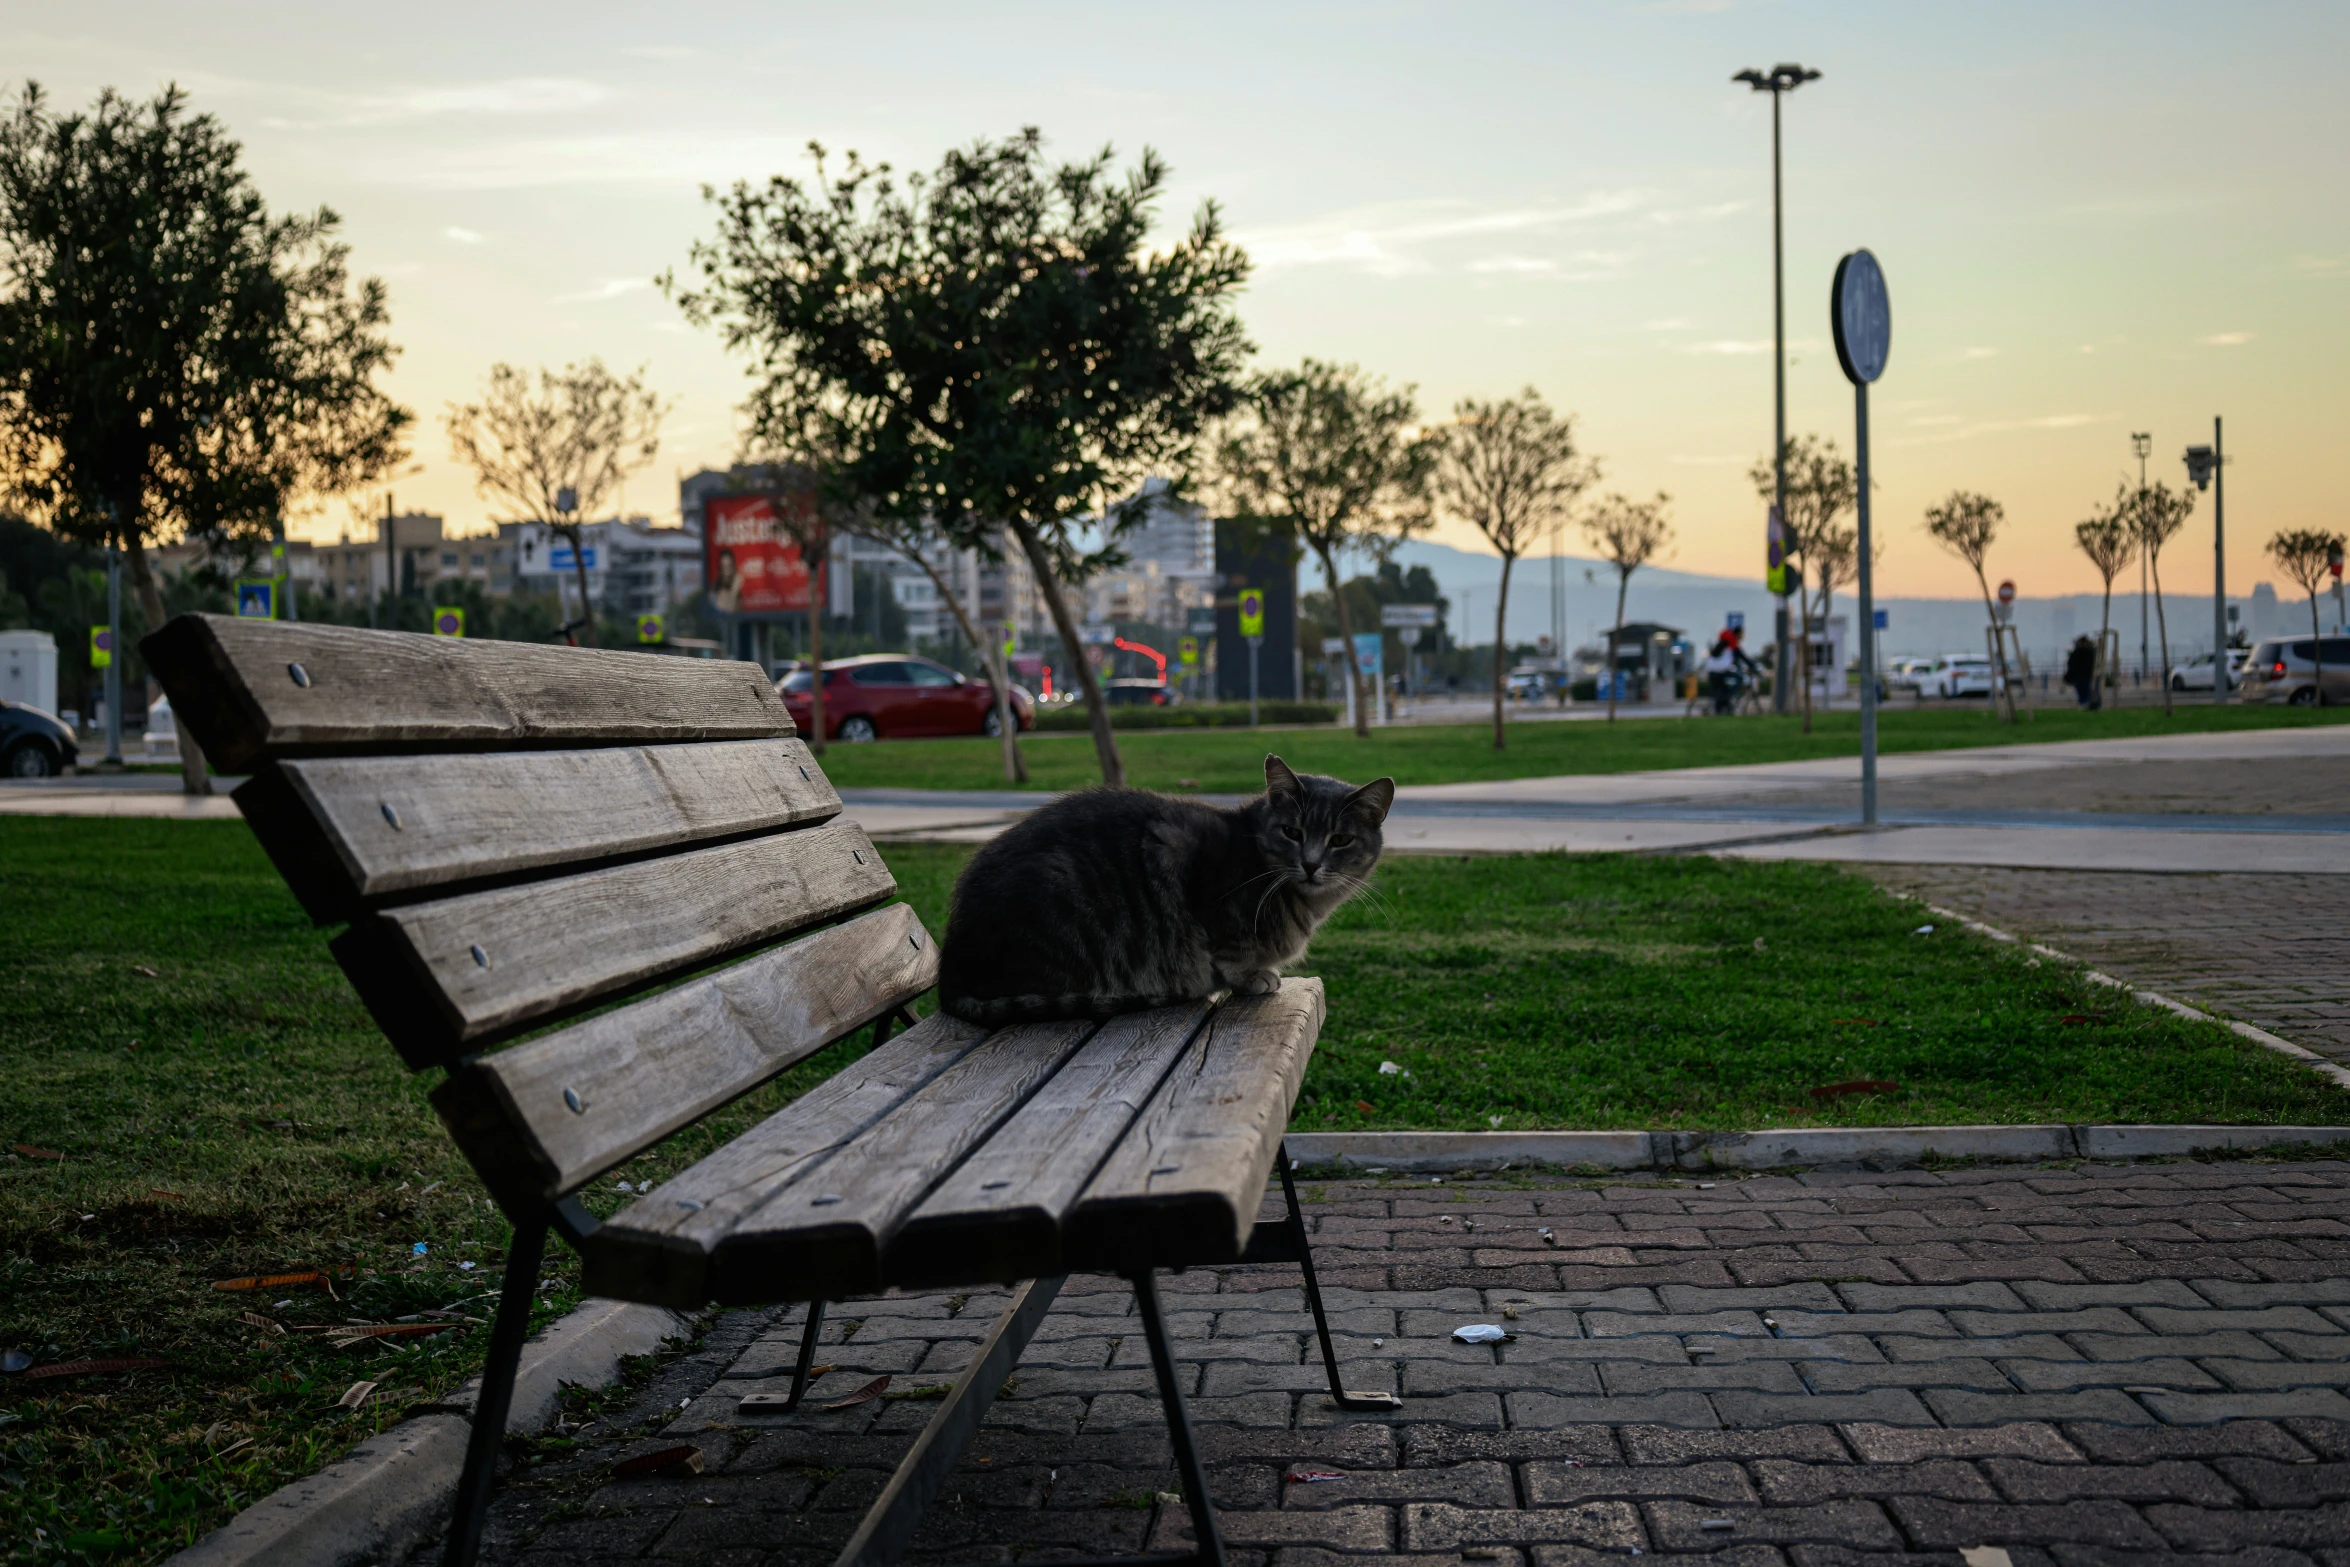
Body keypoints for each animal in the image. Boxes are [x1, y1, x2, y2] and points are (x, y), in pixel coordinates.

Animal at [939, 756, 1391, 1029]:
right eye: (1292, 832)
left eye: (1340, 840)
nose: (1311, 864)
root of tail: (949, 976)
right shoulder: (1204, 889)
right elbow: (1232, 954)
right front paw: (1254, 977)